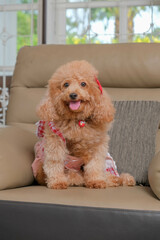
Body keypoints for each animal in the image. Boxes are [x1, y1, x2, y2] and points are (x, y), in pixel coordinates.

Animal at [32, 60, 135, 189]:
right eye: (66, 84)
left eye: (83, 84)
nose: (73, 95)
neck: (77, 120)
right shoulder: (55, 141)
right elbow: (54, 162)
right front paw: (57, 182)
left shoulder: (97, 146)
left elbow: (95, 165)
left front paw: (96, 181)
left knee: (111, 176)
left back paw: (118, 179)